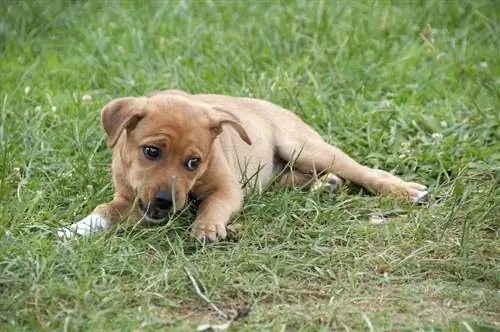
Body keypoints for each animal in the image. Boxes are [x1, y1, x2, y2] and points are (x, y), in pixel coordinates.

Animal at [56, 91, 428, 240]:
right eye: (151, 152)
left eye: (194, 162)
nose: (165, 202)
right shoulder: (128, 199)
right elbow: (103, 211)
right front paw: (71, 231)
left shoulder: (227, 188)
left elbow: (215, 205)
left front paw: (207, 227)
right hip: (280, 171)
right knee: (297, 178)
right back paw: (327, 186)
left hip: (304, 147)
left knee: (364, 172)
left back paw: (406, 190)